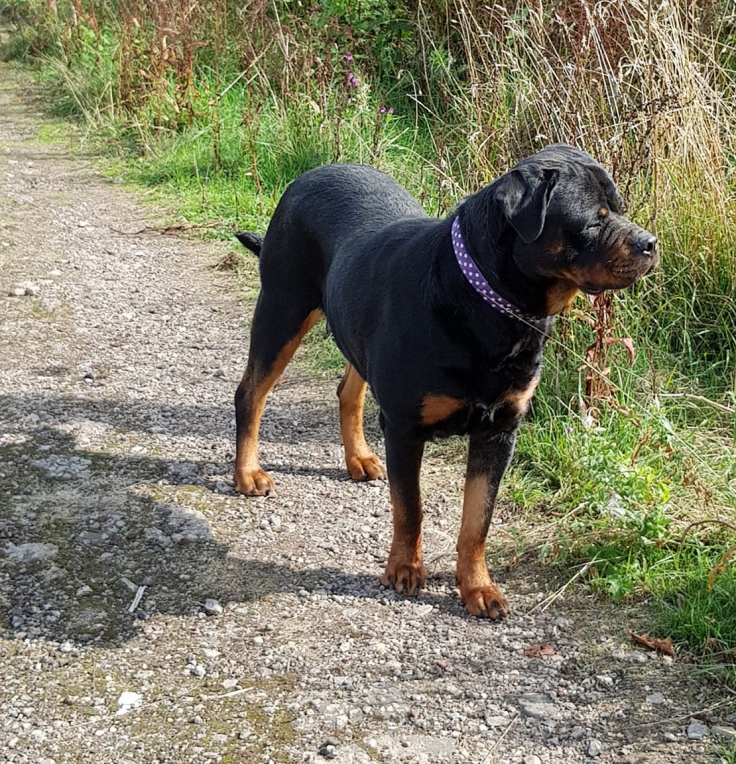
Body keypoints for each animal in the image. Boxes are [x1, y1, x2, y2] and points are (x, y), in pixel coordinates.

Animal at [234, 145, 656, 620]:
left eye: (619, 209)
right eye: (592, 221)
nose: (650, 243)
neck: (487, 303)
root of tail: (310, 175)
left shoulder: (499, 431)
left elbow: (477, 520)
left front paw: (478, 587)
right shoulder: (404, 428)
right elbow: (410, 508)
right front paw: (404, 568)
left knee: (348, 390)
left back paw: (358, 458)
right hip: (282, 310)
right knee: (251, 394)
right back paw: (247, 473)